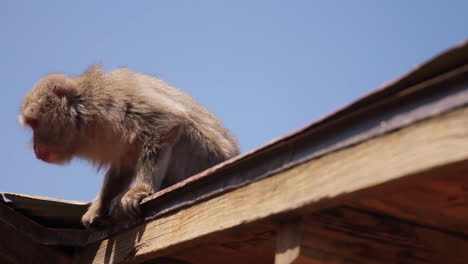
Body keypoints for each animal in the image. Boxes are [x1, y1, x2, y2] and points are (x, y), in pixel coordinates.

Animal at [18, 65, 239, 228]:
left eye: (34, 123)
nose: (35, 146)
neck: (84, 113)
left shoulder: (112, 101)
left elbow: (166, 122)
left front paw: (140, 189)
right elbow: (122, 166)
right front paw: (99, 206)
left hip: (202, 154)